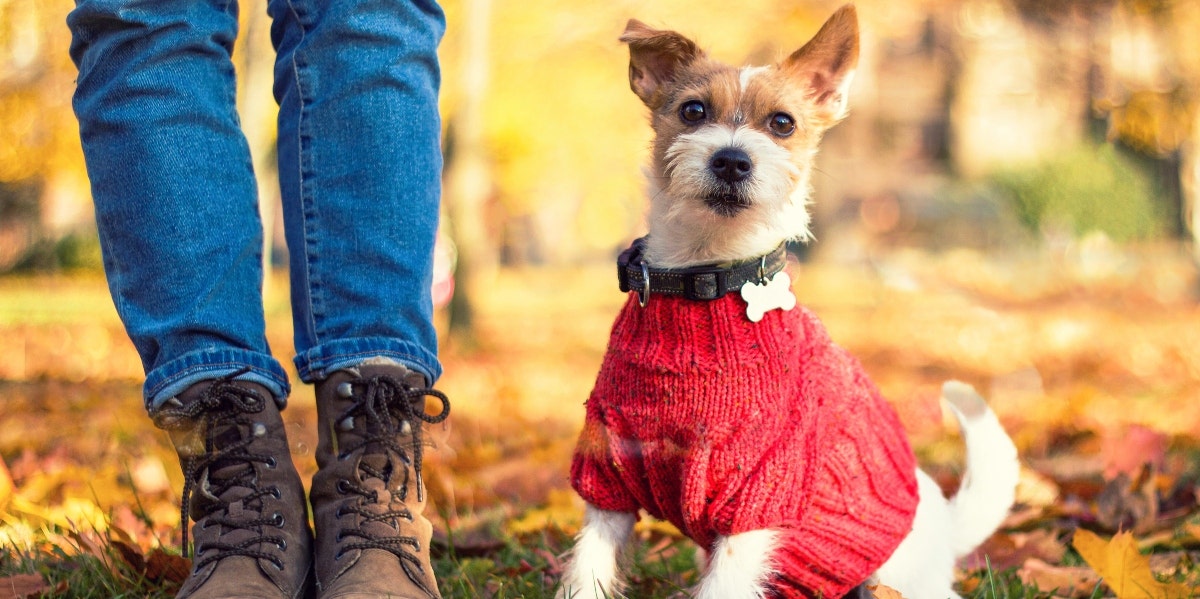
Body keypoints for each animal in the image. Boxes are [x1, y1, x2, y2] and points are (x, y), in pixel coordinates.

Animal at [556, 5, 1017, 599]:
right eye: (693, 110)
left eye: (782, 123)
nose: (732, 160)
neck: (705, 277)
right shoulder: (608, 474)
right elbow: (588, 568)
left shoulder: (755, 495)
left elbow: (725, 582)